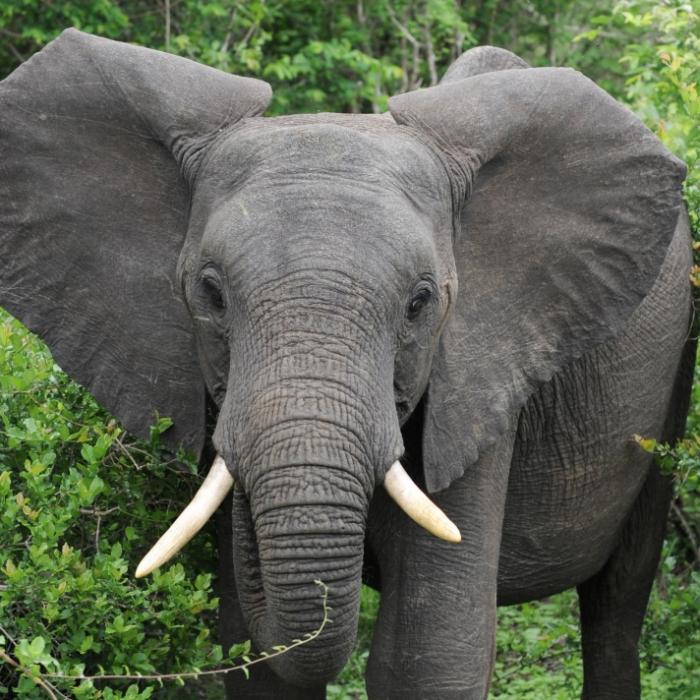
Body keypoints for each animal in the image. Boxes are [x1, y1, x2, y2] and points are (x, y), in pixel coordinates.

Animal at [0, 29, 694, 700]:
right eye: (211, 294)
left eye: (420, 302)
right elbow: (263, 666)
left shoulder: (479, 378)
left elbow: (426, 659)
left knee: (617, 600)